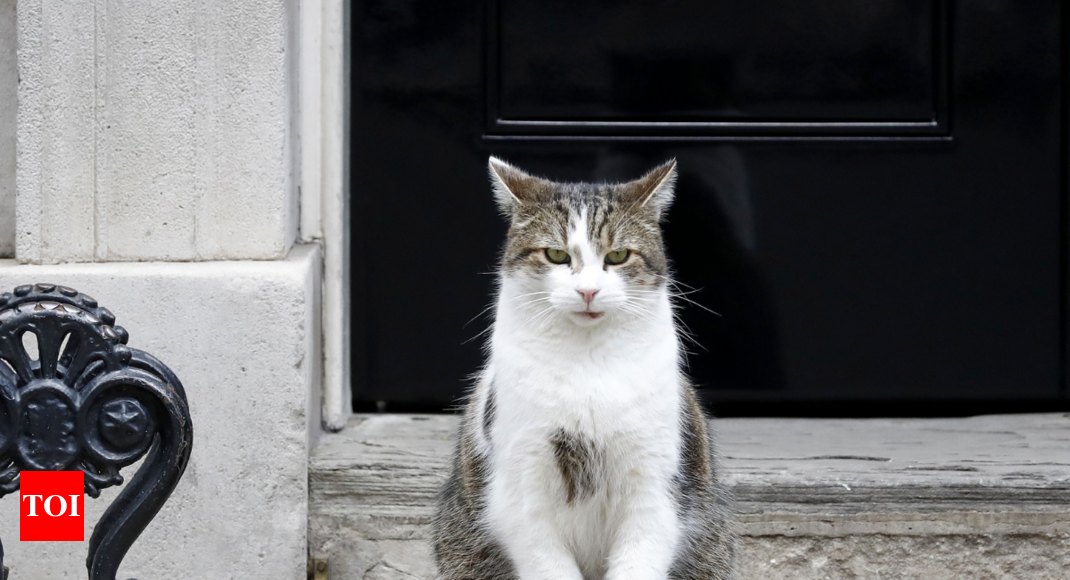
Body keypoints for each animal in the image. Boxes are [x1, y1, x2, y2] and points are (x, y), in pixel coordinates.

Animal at [434, 158, 736, 580]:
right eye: (556, 255)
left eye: (619, 255)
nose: (588, 291)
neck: (587, 365)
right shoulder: (522, 486)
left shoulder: (653, 484)